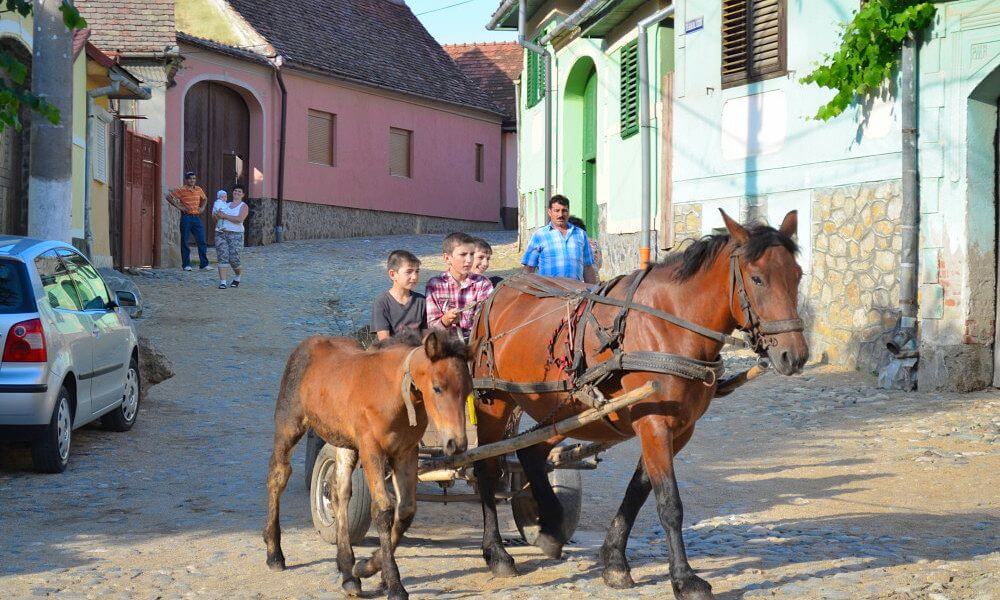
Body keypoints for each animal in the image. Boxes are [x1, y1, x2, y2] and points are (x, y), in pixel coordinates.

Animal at [264, 330, 470, 596]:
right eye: (437, 388)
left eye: (468, 391)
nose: (458, 443)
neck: (394, 393)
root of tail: (306, 345)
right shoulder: (372, 450)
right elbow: (383, 510)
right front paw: (394, 584)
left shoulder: (405, 452)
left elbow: (405, 511)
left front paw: (366, 568)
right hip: (289, 425)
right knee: (278, 476)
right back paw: (274, 554)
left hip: (345, 443)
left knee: (339, 492)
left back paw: (347, 573)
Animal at [468, 211, 804, 600]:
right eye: (757, 278)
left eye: (797, 275)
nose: (794, 355)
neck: (669, 326)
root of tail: (498, 292)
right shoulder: (654, 423)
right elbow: (669, 503)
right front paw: (684, 579)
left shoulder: (678, 429)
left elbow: (638, 490)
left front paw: (614, 561)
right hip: (495, 402)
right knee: (486, 468)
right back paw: (496, 552)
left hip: (569, 409)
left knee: (531, 453)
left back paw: (549, 526)